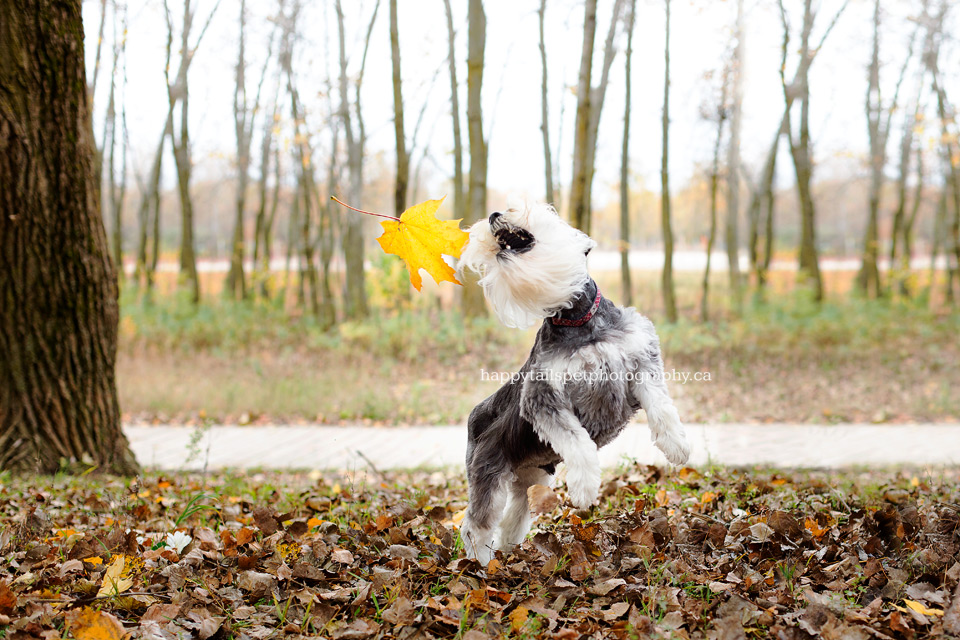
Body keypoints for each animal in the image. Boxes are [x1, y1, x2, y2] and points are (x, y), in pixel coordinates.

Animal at [456, 202, 688, 564]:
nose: (494, 214)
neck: (580, 321)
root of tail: (473, 417)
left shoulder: (641, 363)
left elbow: (662, 408)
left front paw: (677, 444)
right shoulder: (544, 398)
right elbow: (578, 442)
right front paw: (584, 489)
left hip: (532, 475)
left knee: (516, 512)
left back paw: (509, 546)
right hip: (487, 475)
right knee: (475, 526)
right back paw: (480, 564)